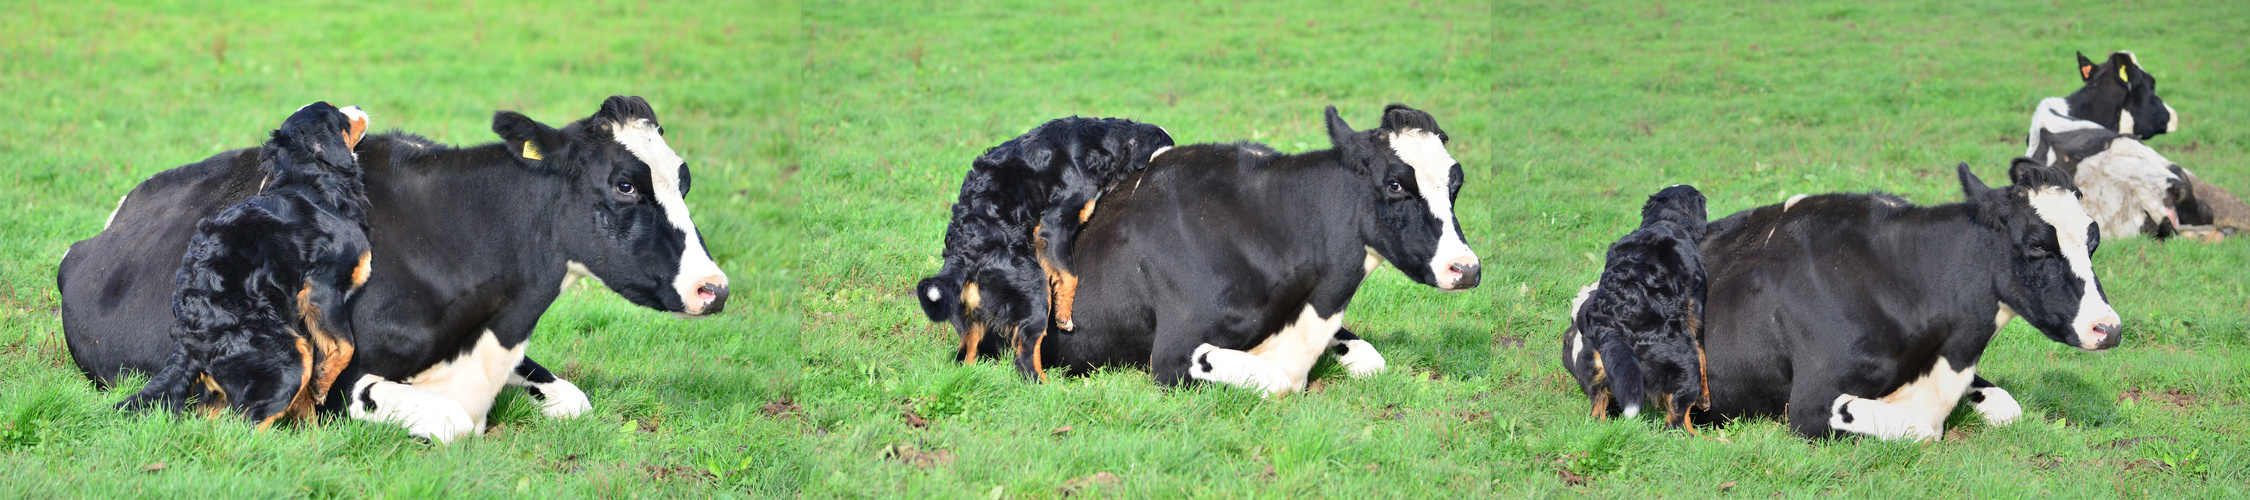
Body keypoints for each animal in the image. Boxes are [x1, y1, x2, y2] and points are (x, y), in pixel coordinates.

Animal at [59, 96, 729, 441]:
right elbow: (451, 422)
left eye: (684, 180)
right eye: (624, 184)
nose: (714, 288)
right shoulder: (344, 378)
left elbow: (575, 400)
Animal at [913, 117, 1179, 380]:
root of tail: (965, 253)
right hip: (1033, 292)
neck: (1098, 145)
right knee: (1026, 354)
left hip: (970, 315)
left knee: (966, 351)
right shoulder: (1055, 223)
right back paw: (1045, 383)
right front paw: (1065, 315)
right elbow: (1070, 275)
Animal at [1030, 104, 1476, 394]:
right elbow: (1277, 381)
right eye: (1395, 184)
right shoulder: (1172, 355)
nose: (1467, 269)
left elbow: (1372, 359)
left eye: (1456, 185)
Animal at [1566, 185, 1701, 432]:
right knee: (1677, 419)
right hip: (1684, 368)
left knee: (1597, 412)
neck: (1664, 221)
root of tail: (1611, 324)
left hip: (1599, 377)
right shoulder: (1695, 303)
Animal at [1692, 158, 2133, 436]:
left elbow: (2009, 407)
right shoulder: (1808, 405)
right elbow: (1917, 429)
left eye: (2093, 244)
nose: (2109, 329)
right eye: (2038, 247)